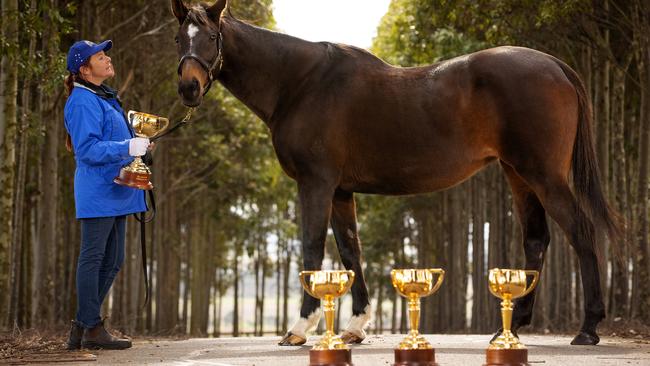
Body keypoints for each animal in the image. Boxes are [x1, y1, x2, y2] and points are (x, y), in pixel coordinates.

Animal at [170, 0, 620, 346]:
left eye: (211, 37)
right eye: (178, 38)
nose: (188, 88)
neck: (300, 83)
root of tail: (555, 64)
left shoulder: (316, 183)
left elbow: (313, 247)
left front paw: (299, 328)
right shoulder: (340, 190)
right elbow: (351, 250)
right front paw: (355, 327)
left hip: (544, 174)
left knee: (581, 232)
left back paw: (588, 329)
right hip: (518, 173)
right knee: (537, 239)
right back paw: (513, 326)